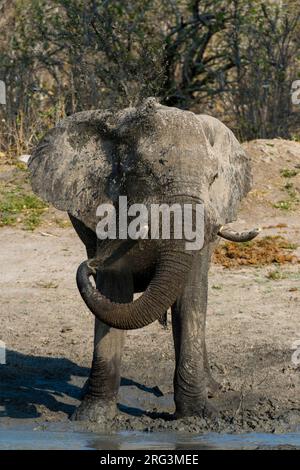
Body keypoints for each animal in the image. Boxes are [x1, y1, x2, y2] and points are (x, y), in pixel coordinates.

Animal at [29, 99, 260, 422]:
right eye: (148, 173)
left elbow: (191, 296)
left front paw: (196, 417)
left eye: (213, 179)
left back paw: (212, 388)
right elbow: (114, 289)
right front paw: (92, 420)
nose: (90, 267)